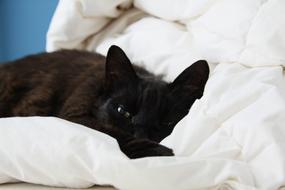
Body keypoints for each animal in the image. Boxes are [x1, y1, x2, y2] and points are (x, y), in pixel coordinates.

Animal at [0, 45, 209, 157]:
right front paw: (161, 152)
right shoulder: (73, 117)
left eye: (167, 122)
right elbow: (112, 132)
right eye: (123, 111)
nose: (141, 134)